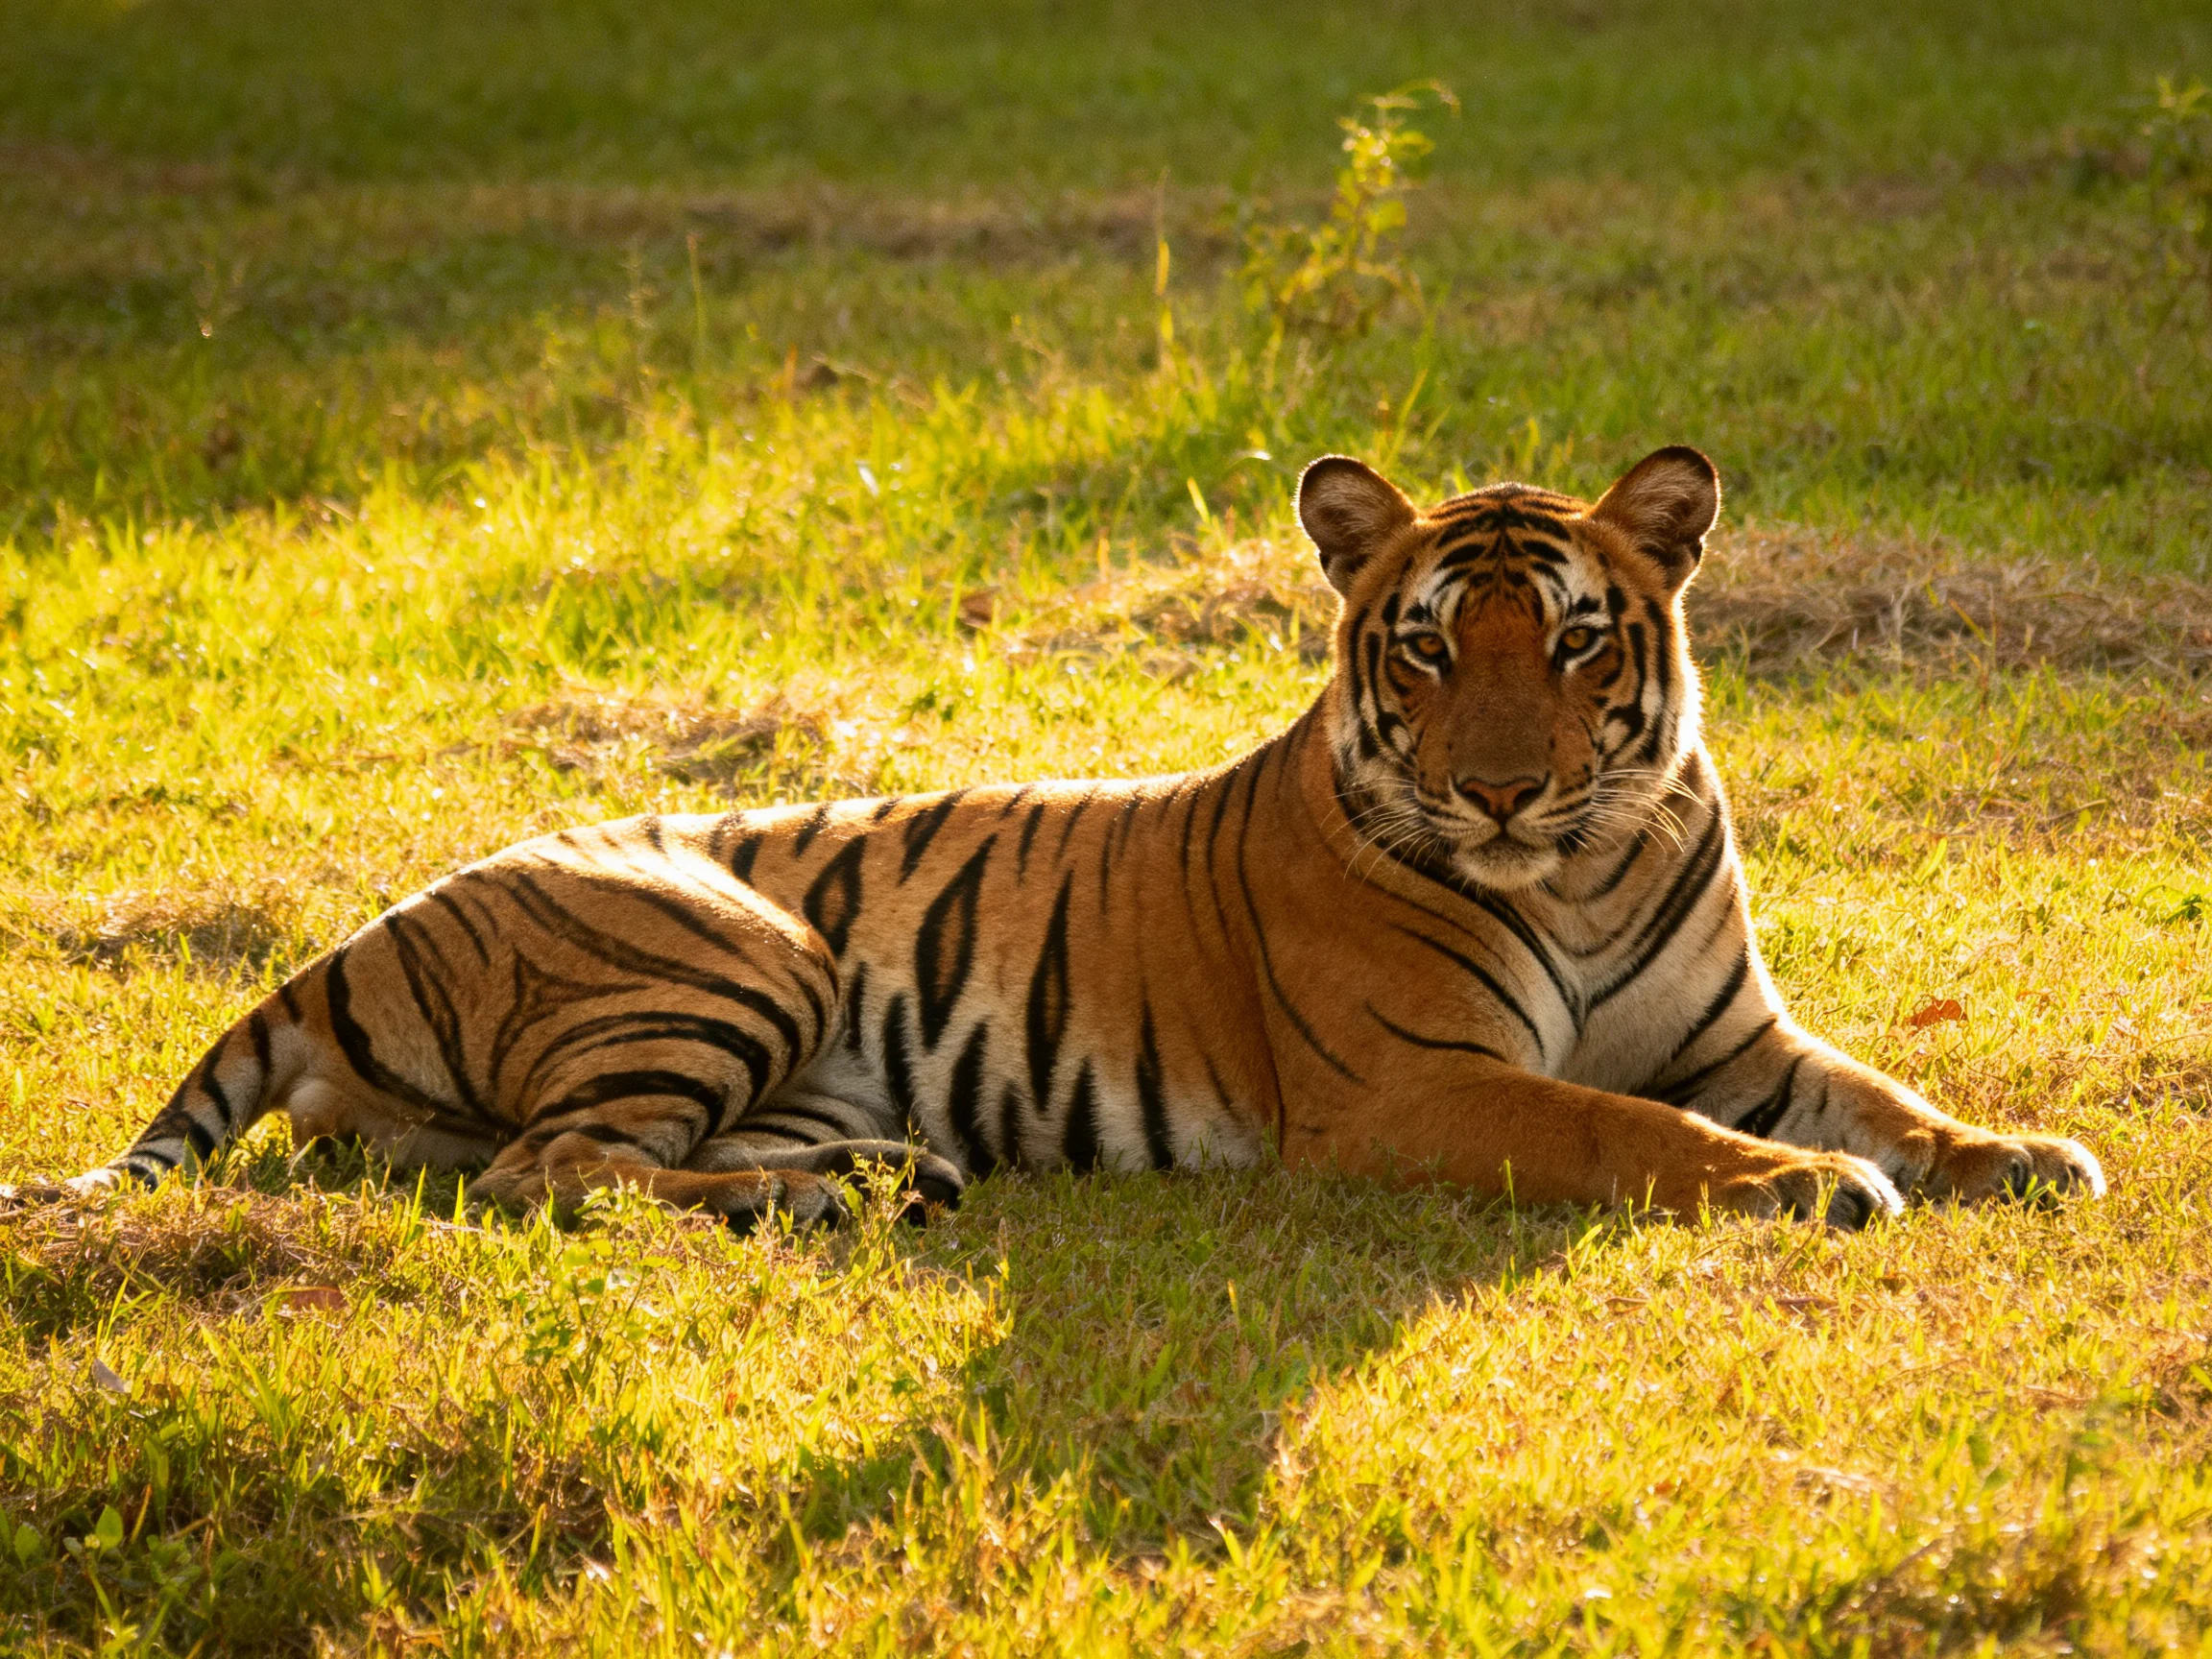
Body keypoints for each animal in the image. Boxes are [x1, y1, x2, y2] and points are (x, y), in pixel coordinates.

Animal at [31, 445, 2104, 1231]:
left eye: (1580, 638)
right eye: (1433, 647)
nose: (1504, 787)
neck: (1579, 869)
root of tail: (358, 929)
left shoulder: (1738, 1033)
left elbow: (1892, 1095)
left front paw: (2019, 1153)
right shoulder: (1417, 1083)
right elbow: (1626, 1131)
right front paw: (1809, 1191)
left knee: (592, 1159)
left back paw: (872, 1183)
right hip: (731, 951)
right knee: (556, 1168)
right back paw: (834, 1204)